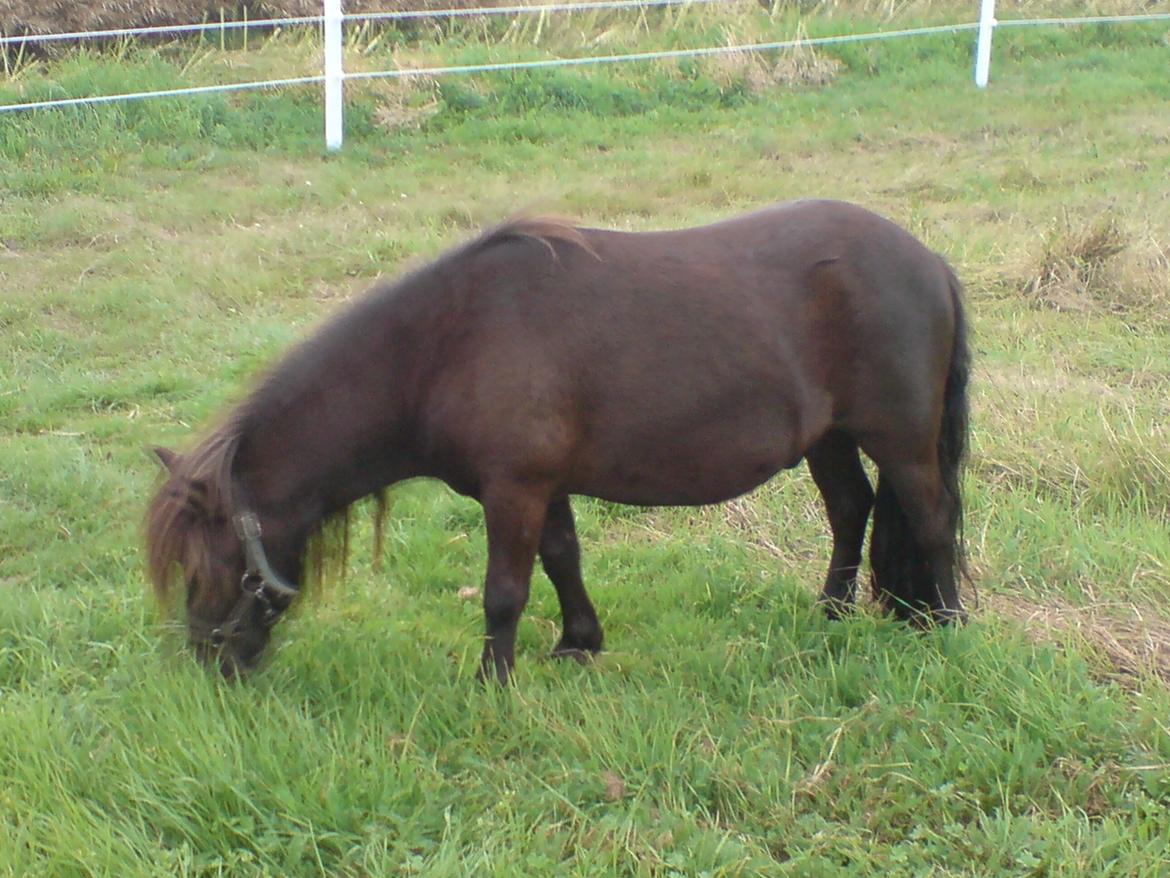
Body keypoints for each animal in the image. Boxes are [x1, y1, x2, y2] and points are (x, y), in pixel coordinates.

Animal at [146, 201, 968, 688]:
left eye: (212, 565)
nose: (212, 667)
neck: (447, 345)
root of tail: (927, 260)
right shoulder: (545, 486)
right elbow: (562, 558)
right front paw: (579, 642)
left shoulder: (514, 489)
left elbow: (504, 590)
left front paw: (493, 682)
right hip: (829, 438)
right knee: (851, 510)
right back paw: (829, 614)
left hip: (900, 439)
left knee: (930, 520)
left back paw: (949, 627)